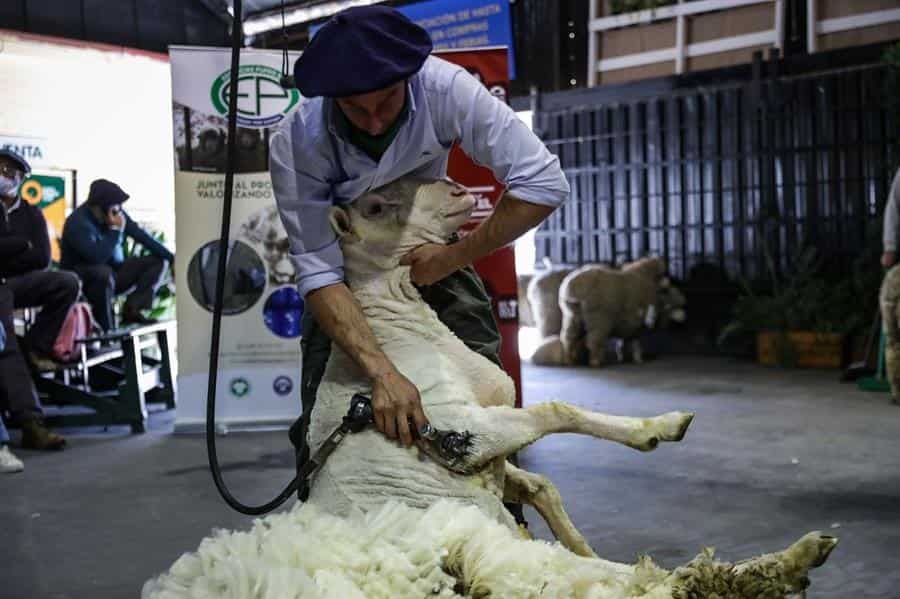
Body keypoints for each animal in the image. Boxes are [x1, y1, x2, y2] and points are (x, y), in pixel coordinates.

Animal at [143, 178, 835, 598]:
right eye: (375, 206)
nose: (454, 187)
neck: (395, 328)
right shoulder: (464, 430)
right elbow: (557, 408)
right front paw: (658, 429)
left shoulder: (484, 449)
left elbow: (542, 486)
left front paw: (581, 532)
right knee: (659, 585)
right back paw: (801, 555)